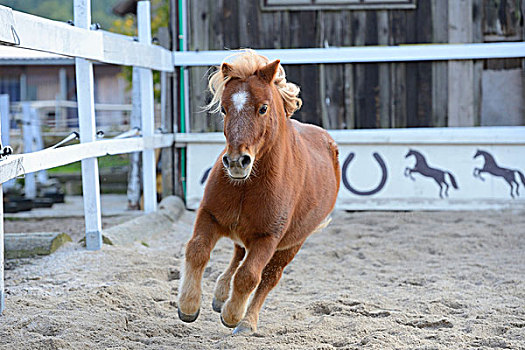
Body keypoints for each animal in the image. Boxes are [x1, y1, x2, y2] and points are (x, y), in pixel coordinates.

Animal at [176, 50, 340, 334]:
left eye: (263, 108)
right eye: (224, 109)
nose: (236, 161)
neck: (248, 185)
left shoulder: (268, 238)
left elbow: (250, 275)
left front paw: (233, 315)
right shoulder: (209, 215)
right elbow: (197, 251)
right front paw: (188, 306)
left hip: (291, 245)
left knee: (268, 277)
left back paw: (247, 321)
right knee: (238, 254)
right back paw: (220, 295)